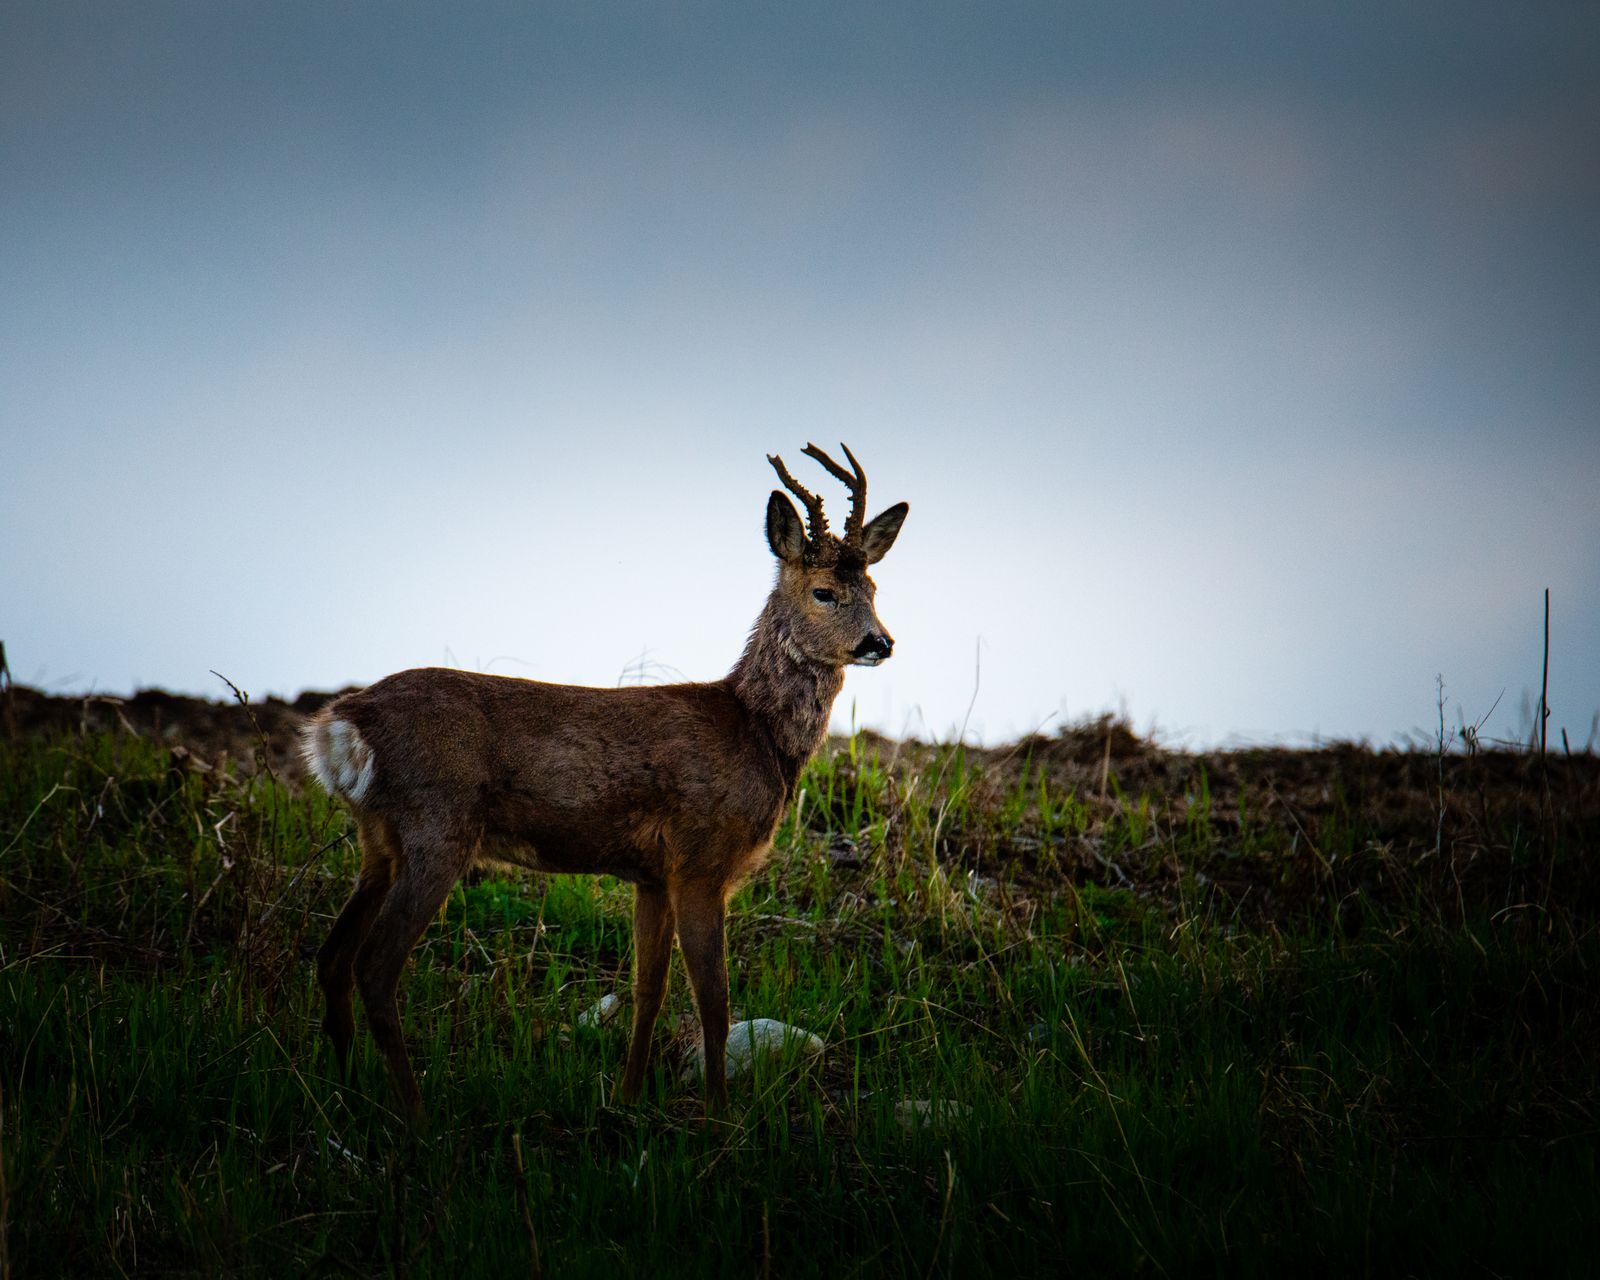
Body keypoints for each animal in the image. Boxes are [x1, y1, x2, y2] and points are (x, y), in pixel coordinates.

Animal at [302, 443, 907, 1123]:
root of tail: (341, 724)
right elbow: (716, 1000)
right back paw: (415, 1116)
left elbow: (649, 988)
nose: (880, 642)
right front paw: (718, 1116)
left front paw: (628, 1097)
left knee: (332, 957)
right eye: (824, 591)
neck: (756, 733)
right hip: (437, 827)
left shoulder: (653, 874)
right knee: (375, 968)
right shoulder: (702, 860)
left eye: (874, 587)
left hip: (379, 839)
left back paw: (345, 1093)